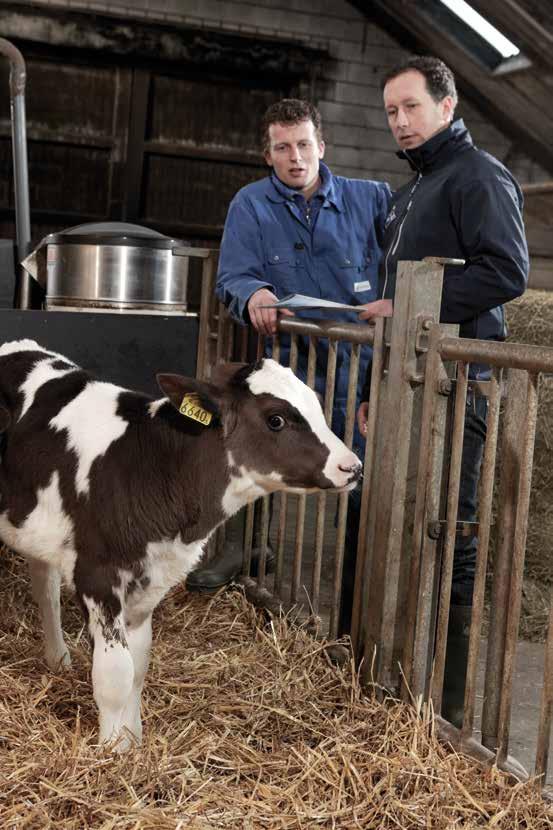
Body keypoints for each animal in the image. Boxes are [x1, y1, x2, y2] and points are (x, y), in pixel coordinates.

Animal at [0, 342, 360, 752]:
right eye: (276, 419)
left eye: (316, 404)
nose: (352, 466)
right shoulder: (98, 576)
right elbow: (115, 675)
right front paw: (111, 753)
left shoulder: (150, 582)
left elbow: (138, 667)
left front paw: (134, 743)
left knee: (44, 587)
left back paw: (57, 658)